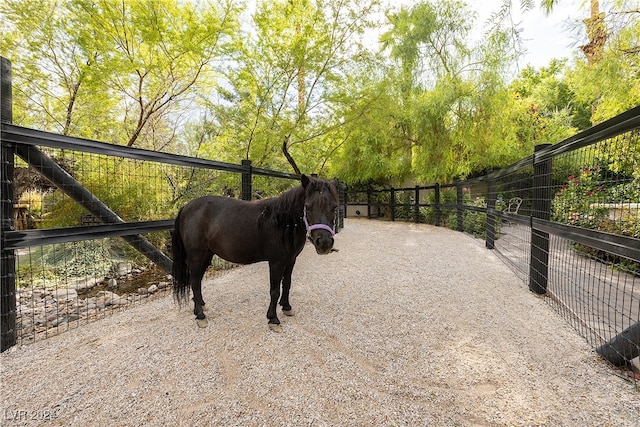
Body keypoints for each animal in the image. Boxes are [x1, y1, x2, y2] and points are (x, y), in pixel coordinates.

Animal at [170, 176, 340, 330]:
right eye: (308, 207)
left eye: (335, 208)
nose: (324, 243)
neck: (282, 222)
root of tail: (186, 208)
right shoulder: (276, 262)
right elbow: (274, 290)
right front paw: (273, 319)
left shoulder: (291, 259)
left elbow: (287, 283)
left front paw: (286, 307)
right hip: (196, 255)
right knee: (194, 281)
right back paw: (200, 315)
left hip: (207, 254)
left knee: (197, 280)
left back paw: (200, 306)